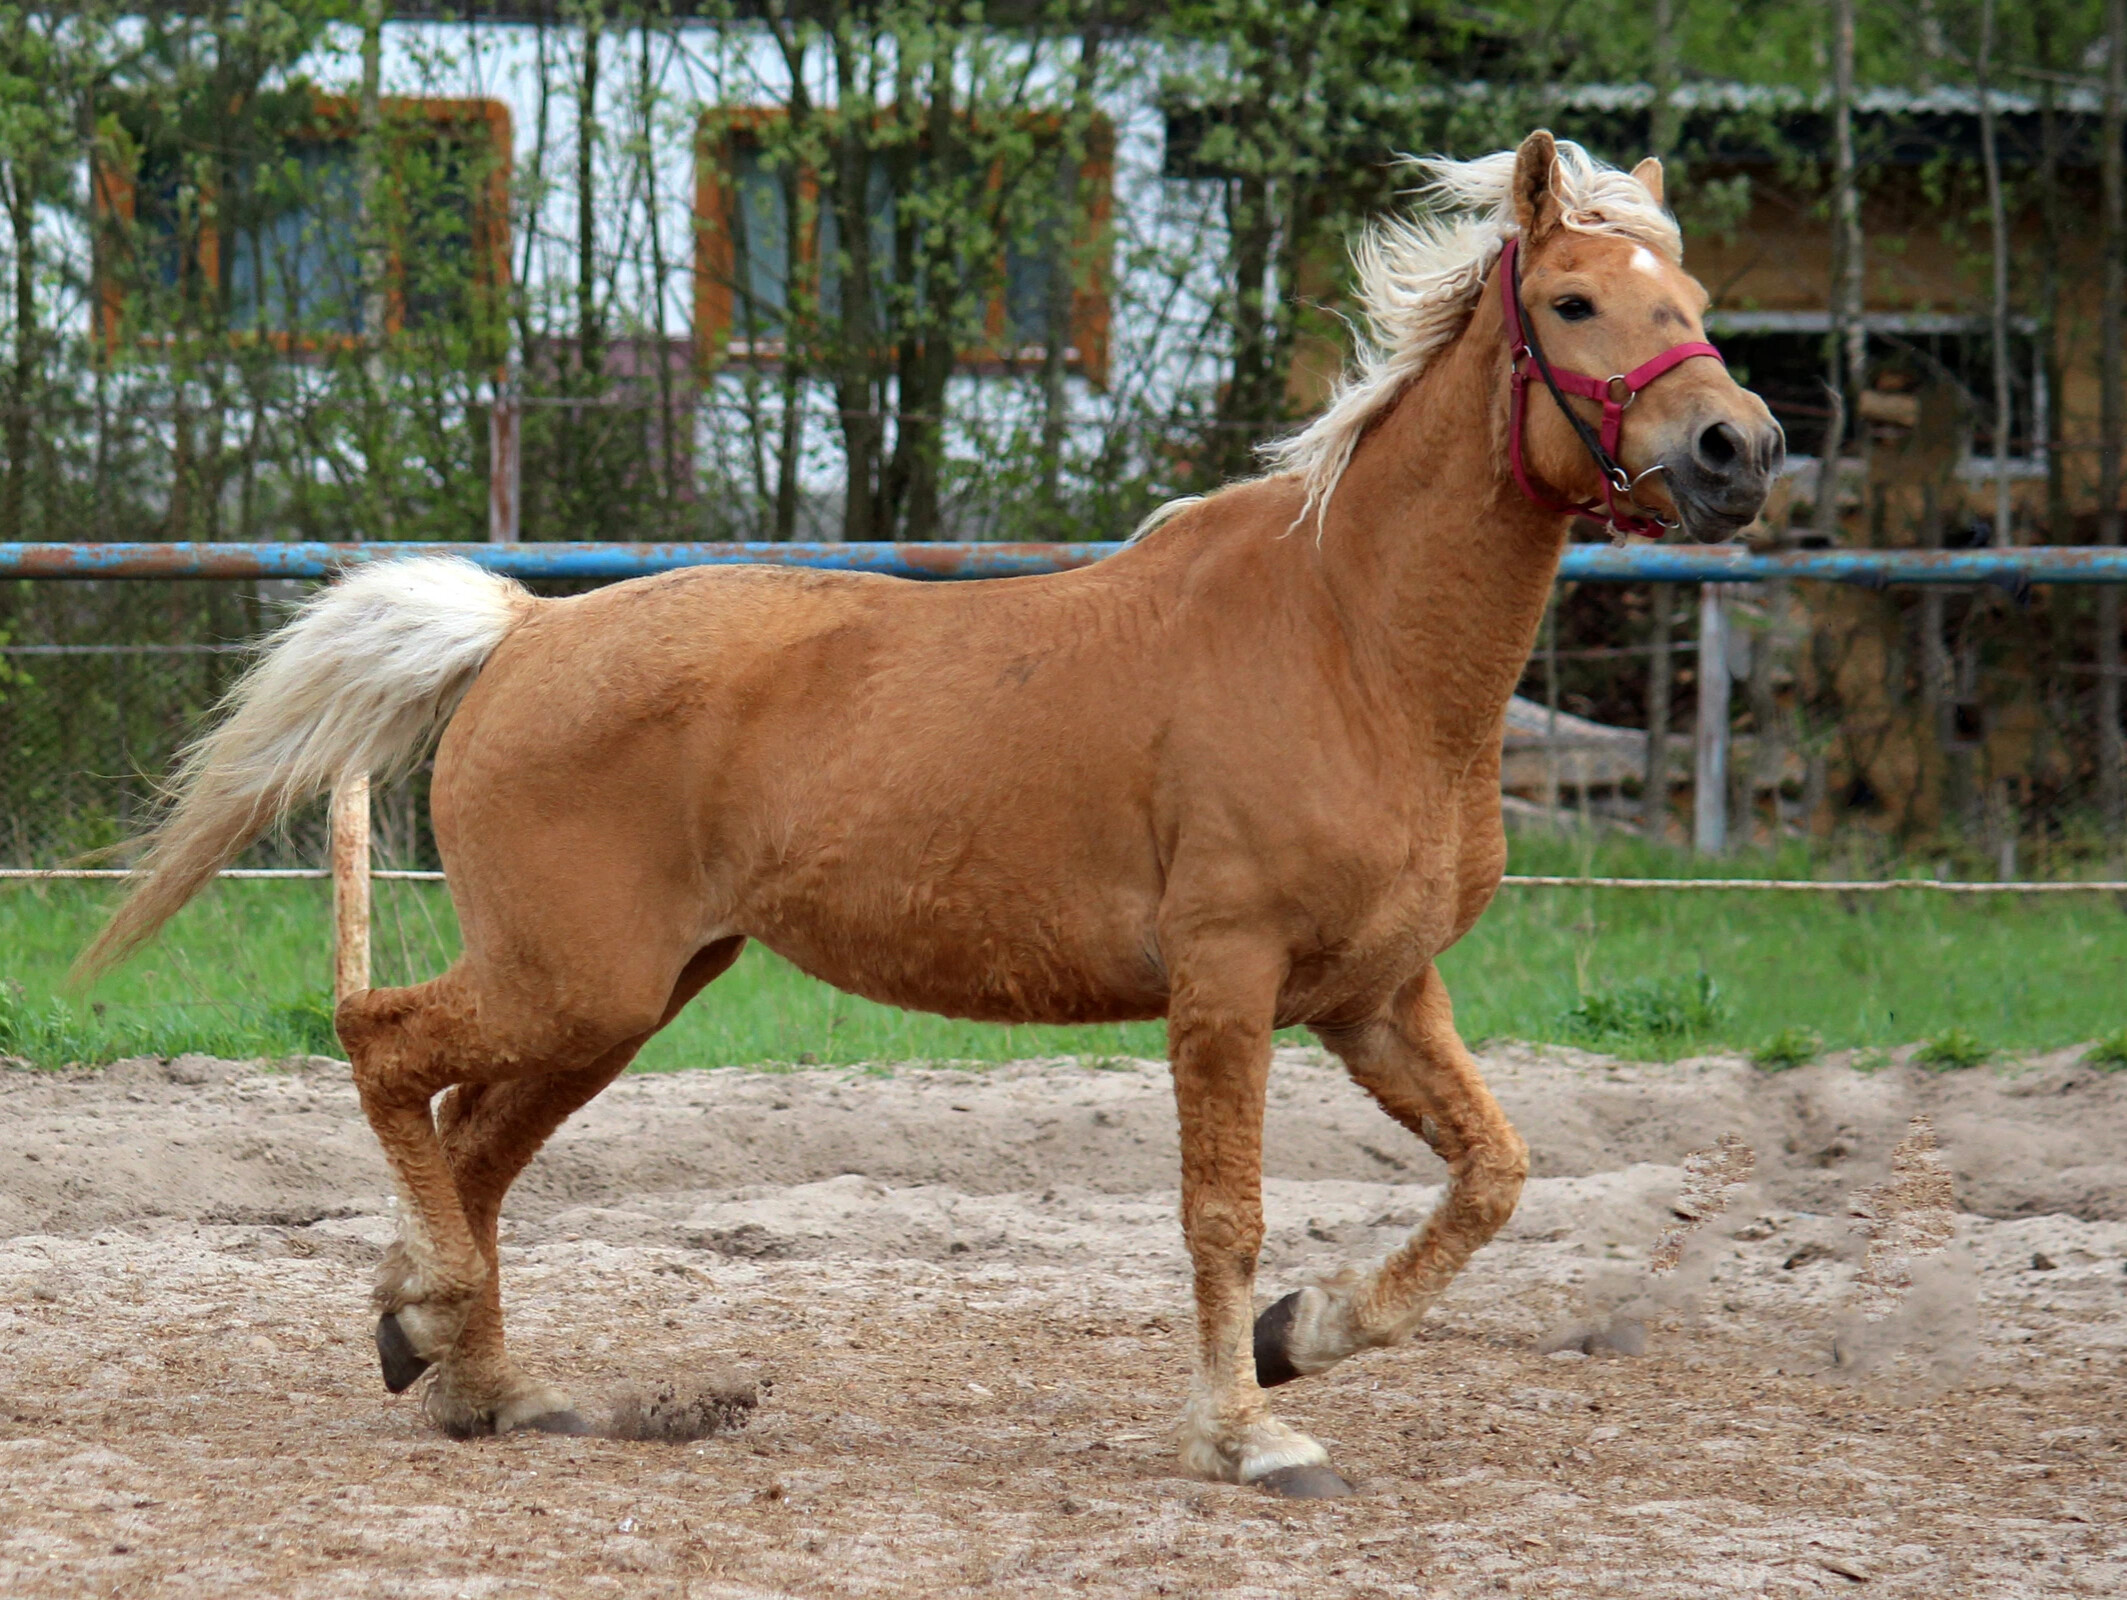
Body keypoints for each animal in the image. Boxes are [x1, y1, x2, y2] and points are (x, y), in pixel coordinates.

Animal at [82, 131, 1778, 1497]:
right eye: (1574, 303)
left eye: (1692, 301)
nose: (1737, 448)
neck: (1348, 643)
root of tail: (523, 628)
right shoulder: (1225, 985)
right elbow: (1218, 1214)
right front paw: (1247, 1435)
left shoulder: (1373, 997)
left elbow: (1492, 1176)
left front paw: (1301, 1336)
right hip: (576, 979)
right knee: (384, 1053)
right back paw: (431, 1316)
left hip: (621, 998)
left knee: (475, 1142)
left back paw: (481, 1381)